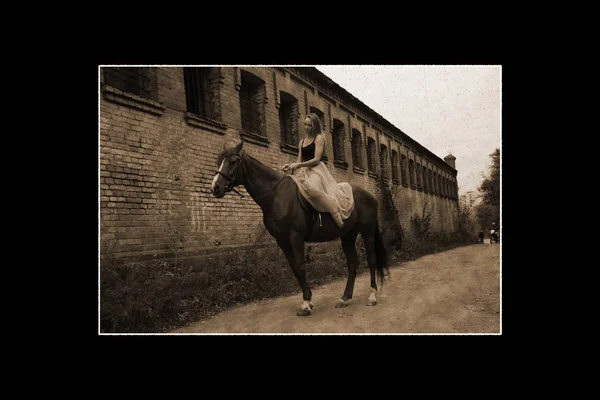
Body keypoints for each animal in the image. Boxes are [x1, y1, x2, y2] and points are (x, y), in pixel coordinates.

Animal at [211, 139, 390, 318]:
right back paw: (344, 298)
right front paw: (308, 301)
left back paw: (372, 296)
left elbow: (301, 266)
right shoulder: (282, 241)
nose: (216, 188)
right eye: (219, 161)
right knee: (353, 263)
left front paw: (305, 304)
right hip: (348, 236)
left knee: (371, 259)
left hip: (367, 232)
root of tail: (370, 196)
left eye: (233, 161)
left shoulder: (296, 237)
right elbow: (295, 269)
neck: (276, 196)